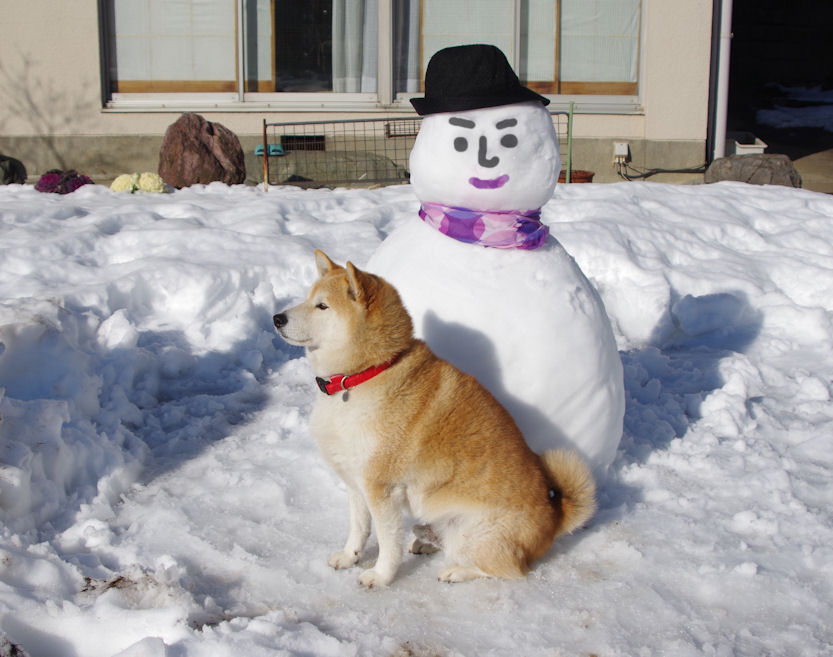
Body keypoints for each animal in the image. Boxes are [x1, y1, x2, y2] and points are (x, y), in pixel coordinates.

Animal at [274, 250, 600, 584]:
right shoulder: (356, 483)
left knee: (507, 571)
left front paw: (380, 576)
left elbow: (388, 541)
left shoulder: (382, 489)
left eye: (322, 306)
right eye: (308, 298)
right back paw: (426, 540)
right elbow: (359, 528)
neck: (367, 373)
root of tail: (554, 518)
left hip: (475, 534)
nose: (277, 318)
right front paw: (349, 556)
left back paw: (456, 570)